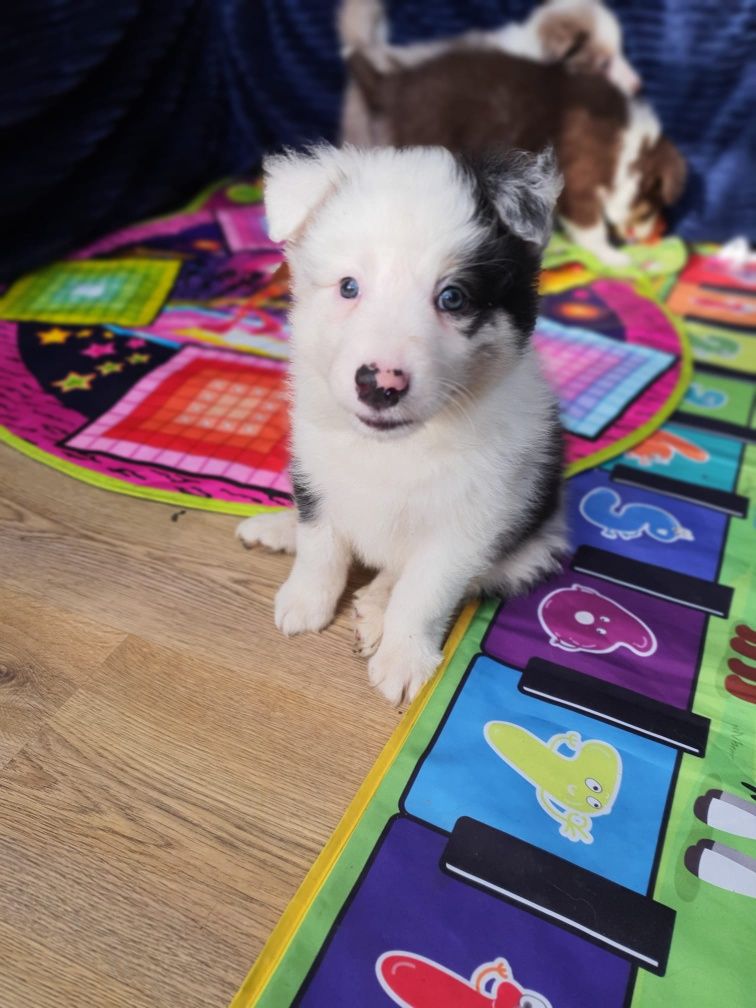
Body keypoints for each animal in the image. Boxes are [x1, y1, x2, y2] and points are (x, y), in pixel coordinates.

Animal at [239, 146, 564, 705]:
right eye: (349, 287)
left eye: (453, 297)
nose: (380, 384)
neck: (396, 447)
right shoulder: (315, 469)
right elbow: (321, 546)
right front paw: (305, 599)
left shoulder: (471, 521)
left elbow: (425, 592)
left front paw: (404, 657)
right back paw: (280, 529)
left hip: (531, 547)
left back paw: (375, 605)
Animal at [348, 45, 685, 266]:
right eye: (652, 207)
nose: (646, 236)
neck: (630, 149)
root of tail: (395, 84)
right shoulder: (579, 180)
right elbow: (591, 228)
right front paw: (613, 257)